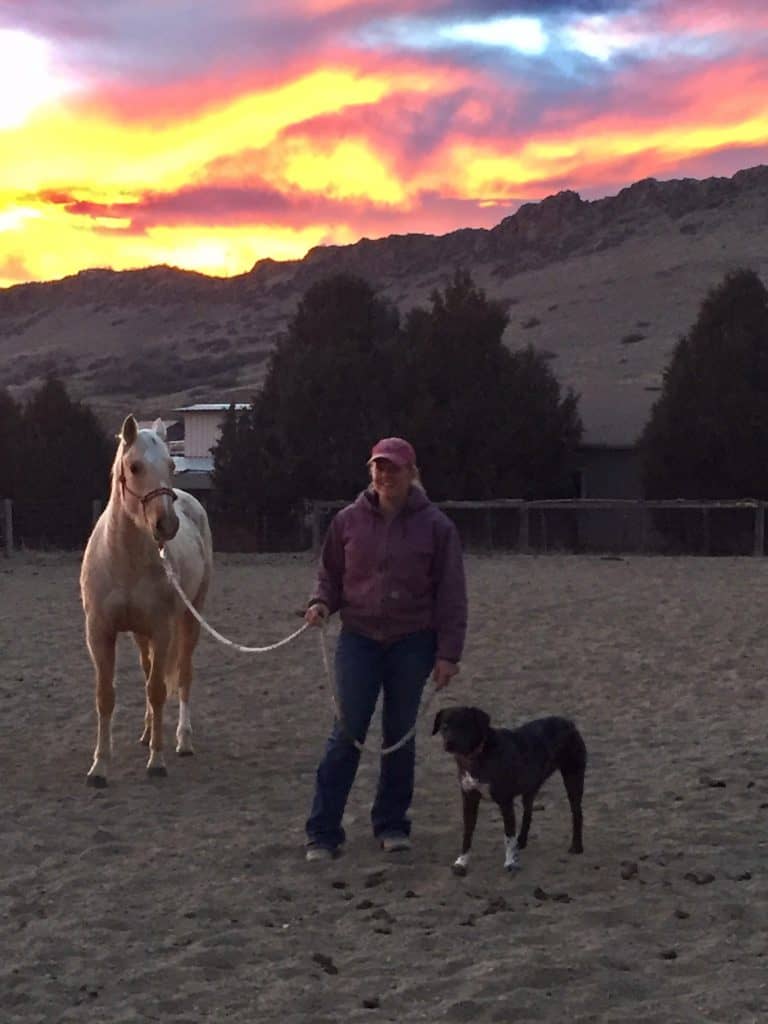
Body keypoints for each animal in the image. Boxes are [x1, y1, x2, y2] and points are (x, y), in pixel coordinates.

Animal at [80, 413, 214, 782]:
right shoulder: (100, 632)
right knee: (148, 671)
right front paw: (99, 765)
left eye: (170, 464)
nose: (167, 525)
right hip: (141, 635)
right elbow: (105, 695)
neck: (124, 558)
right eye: (135, 466)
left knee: (182, 676)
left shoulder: (162, 629)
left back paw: (183, 740)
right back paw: (145, 732)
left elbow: (158, 690)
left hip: (189, 619)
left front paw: (157, 760)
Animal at [434, 708, 589, 876]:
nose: (449, 743)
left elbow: (508, 835)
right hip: (531, 785)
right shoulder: (469, 799)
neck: (477, 755)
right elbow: (467, 834)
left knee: (577, 812)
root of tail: (569, 723)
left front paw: (510, 862)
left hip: (573, 776)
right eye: (444, 726)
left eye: (464, 725)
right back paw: (521, 841)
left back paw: (577, 846)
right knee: (528, 812)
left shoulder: (505, 801)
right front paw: (461, 862)